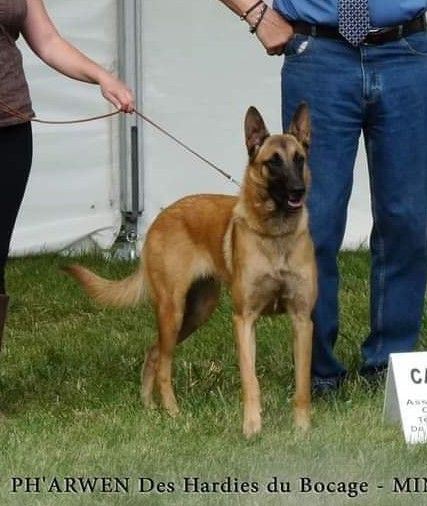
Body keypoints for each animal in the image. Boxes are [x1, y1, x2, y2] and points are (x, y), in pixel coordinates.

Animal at [64, 105, 318, 436]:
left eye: (299, 158)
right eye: (273, 162)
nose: (298, 190)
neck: (275, 235)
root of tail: (160, 217)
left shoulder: (302, 321)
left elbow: (302, 384)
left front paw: (302, 429)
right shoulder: (244, 320)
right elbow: (250, 380)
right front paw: (252, 427)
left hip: (197, 311)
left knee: (154, 352)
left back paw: (149, 407)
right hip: (172, 310)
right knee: (163, 362)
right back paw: (172, 412)